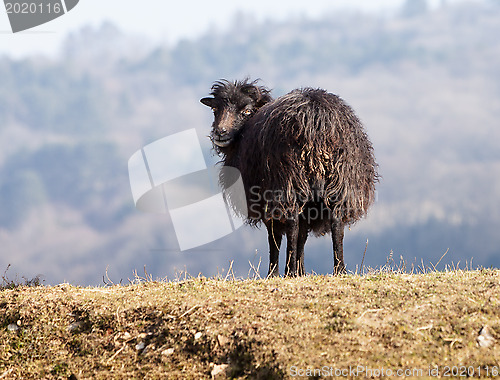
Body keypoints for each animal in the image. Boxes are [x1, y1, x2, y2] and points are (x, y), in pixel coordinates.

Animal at [201, 79, 376, 276]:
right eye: (215, 109)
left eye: (246, 111)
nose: (220, 133)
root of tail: (317, 121)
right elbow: (302, 236)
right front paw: (301, 272)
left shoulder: (265, 200)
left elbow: (275, 237)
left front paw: (275, 273)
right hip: (341, 182)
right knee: (336, 223)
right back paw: (339, 269)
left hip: (288, 182)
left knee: (291, 224)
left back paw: (289, 271)